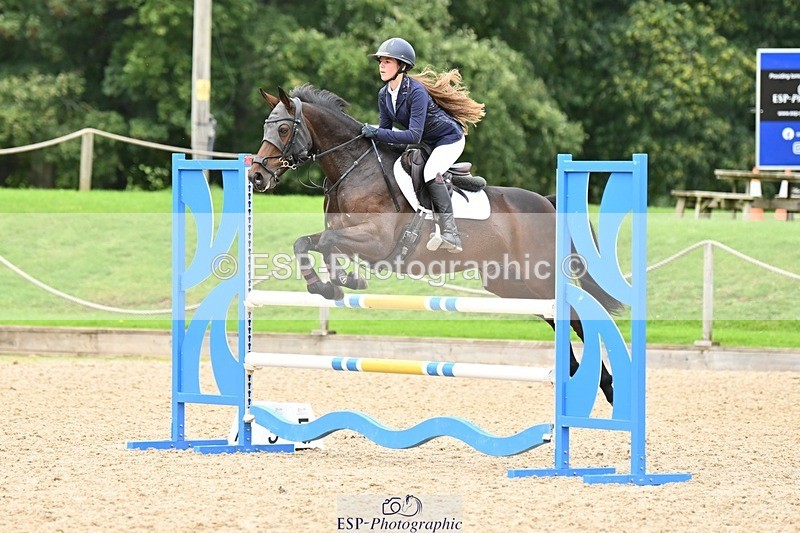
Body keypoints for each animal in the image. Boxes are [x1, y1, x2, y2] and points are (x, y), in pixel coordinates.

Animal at [247, 84, 622, 405]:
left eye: (284, 129)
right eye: (266, 127)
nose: (256, 176)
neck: (353, 167)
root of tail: (548, 203)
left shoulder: (377, 239)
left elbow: (327, 242)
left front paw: (340, 282)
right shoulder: (348, 236)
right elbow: (308, 244)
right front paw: (331, 284)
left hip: (539, 281)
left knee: (577, 317)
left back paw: (607, 387)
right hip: (512, 285)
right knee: (560, 319)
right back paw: (590, 381)